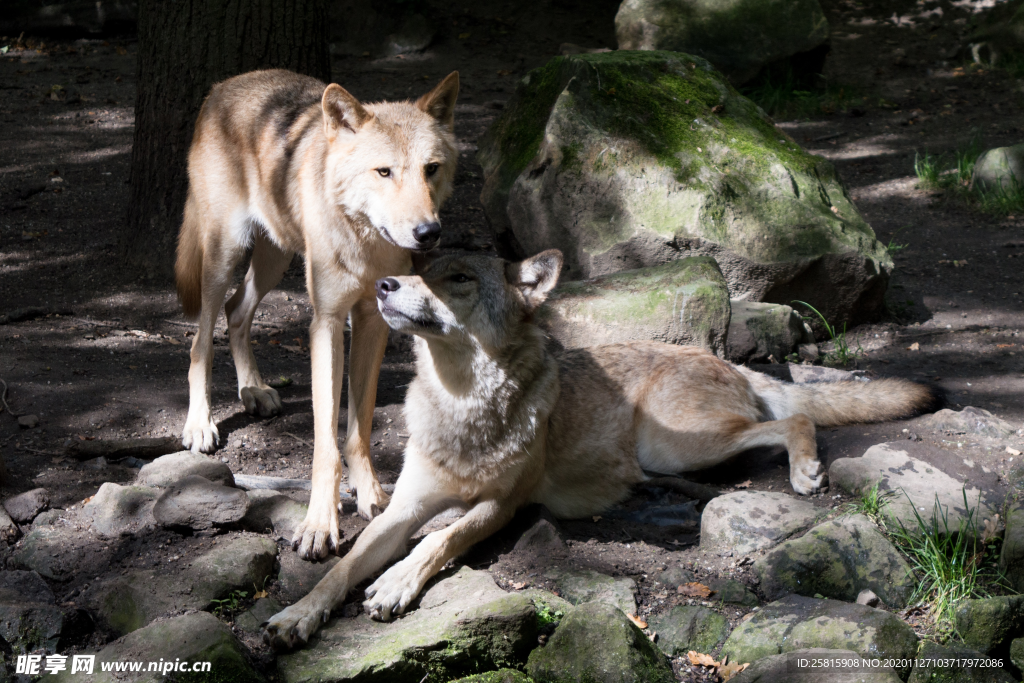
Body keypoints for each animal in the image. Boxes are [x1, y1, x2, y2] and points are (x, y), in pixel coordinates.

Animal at [174, 70, 458, 561]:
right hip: (224, 256)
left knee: (237, 311)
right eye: (385, 172)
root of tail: (221, 87)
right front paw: (319, 526)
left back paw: (254, 390)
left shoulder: (372, 322)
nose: (428, 232)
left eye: (431, 168)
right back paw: (200, 424)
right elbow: (326, 443)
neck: (366, 242)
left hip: (274, 257)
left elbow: (359, 426)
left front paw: (371, 496)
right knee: (200, 339)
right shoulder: (326, 322)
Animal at [260, 248, 937, 651]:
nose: (383, 283)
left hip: (672, 445)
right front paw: (299, 615)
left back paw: (804, 472)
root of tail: (721, 358)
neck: (463, 403)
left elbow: (439, 541)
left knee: (794, 418)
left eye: (457, 278)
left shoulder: (499, 507)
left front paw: (396, 584)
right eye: (420, 263)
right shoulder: (403, 508)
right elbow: (343, 567)